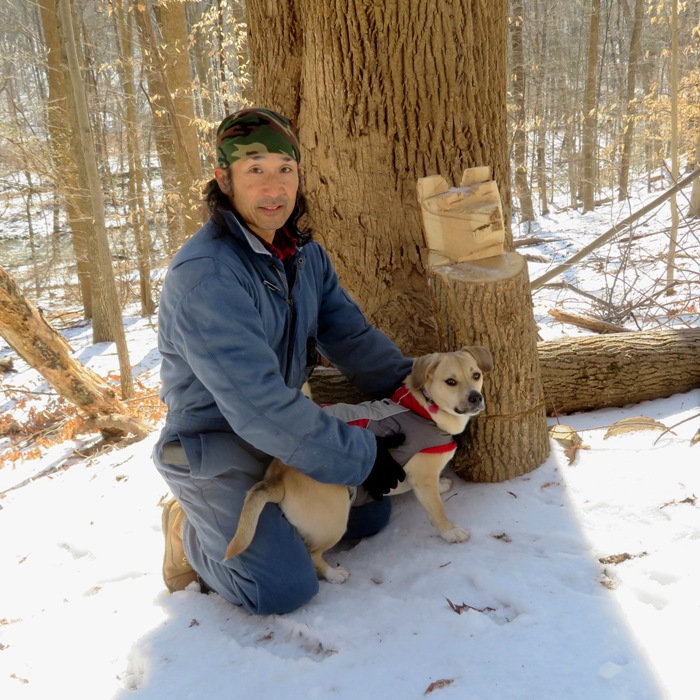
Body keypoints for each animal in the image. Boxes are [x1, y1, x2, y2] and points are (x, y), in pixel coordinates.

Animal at [224, 348, 492, 584]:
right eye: (450, 381)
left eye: (476, 375)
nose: (475, 398)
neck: (425, 410)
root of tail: (277, 476)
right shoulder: (423, 480)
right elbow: (437, 511)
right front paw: (450, 532)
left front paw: (444, 484)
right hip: (333, 521)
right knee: (312, 552)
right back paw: (334, 574)